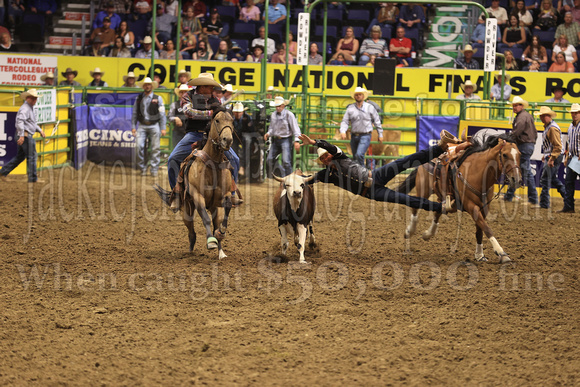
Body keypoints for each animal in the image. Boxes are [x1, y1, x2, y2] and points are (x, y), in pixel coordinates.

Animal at [398, 135, 520, 266]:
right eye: (505, 155)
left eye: (519, 154)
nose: (517, 179)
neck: (478, 173)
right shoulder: (471, 206)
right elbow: (487, 228)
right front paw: (501, 253)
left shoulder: (483, 208)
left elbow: (480, 231)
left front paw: (480, 255)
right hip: (423, 190)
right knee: (416, 208)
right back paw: (409, 231)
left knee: (438, 211)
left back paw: (428, 234)